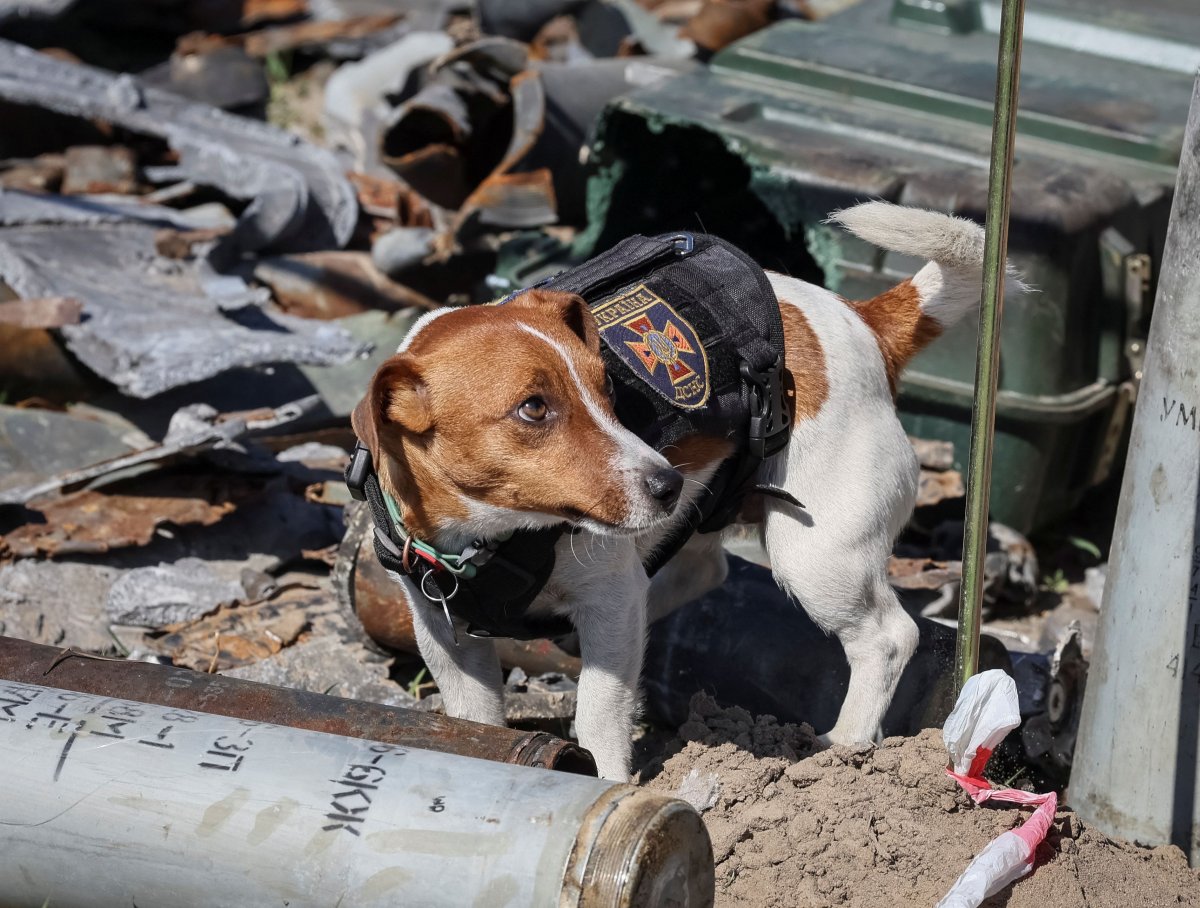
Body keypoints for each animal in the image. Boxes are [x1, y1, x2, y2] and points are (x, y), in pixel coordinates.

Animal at [350, 201, 998, 777]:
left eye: (608, 390)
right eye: (533, 408)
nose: (667, 483)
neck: (488, 536)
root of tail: (862, 321)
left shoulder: (608, 596)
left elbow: (599, 716)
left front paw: (603, 783)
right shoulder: (447, 638)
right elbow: (476, 719)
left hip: (818, 555)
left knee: (888, 637)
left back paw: (845, 746)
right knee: (700, 572)